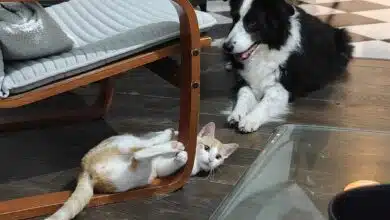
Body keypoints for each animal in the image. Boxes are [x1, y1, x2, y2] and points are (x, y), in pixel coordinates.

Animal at [45, 122, 238, 220]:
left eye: (219, 156)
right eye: (207, 147)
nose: (211, 159)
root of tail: (86, 170)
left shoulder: (162, 169)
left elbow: (170, 164)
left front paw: (181, 156)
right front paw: (174, 137)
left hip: (137, 172)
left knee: (138, 156)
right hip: (127, 141)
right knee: (143, 148)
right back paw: (169, 139)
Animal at [222, 0, 354, 132]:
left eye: (253, 23)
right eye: (234, 19)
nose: (226, 47)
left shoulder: (284, 88)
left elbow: (266, 102)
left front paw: (250, 119)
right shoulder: (246, 80)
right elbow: (243, 94)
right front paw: (236, 114)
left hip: (343, 40)